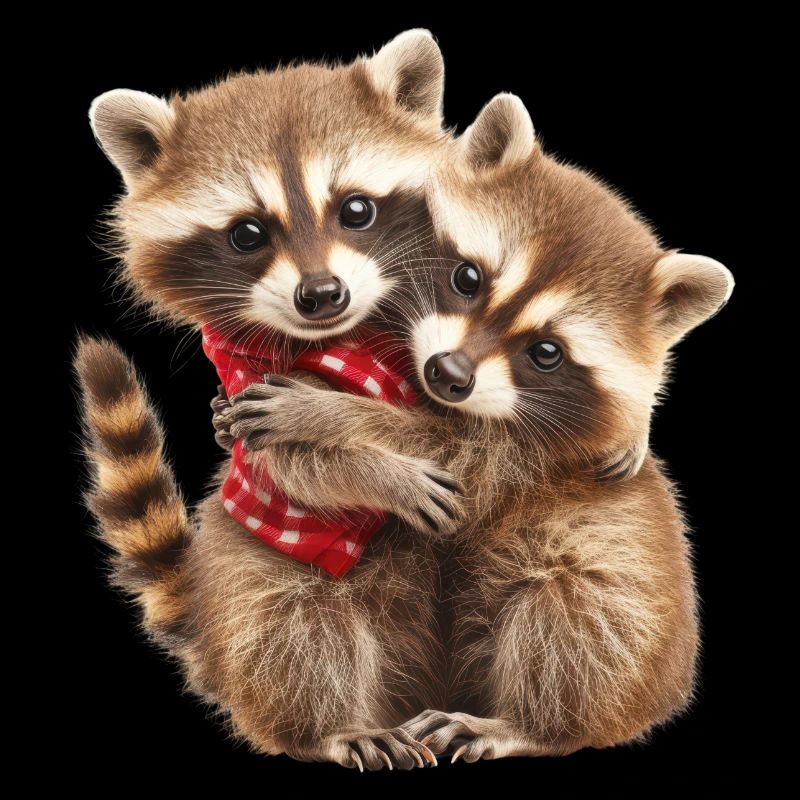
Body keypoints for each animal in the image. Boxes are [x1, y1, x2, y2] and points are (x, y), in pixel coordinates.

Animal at [76, 31, 460, 769]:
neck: (346, 339)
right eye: (247, 233)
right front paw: (380, 473)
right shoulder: (245, 379)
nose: (322, 294)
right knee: (293, 629)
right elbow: (292, 463)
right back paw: (329, 728)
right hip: (255, 581)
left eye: (357, 209)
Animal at [219, 93, 734, 759]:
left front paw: (330, 413)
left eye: (546, 352)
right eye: (468, 278)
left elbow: (466, 458)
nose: (450, 373)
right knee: (293, 615)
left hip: (621, 612)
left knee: (576, 616)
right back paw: (329, 729)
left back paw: (527, 726)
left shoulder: (541, 456)